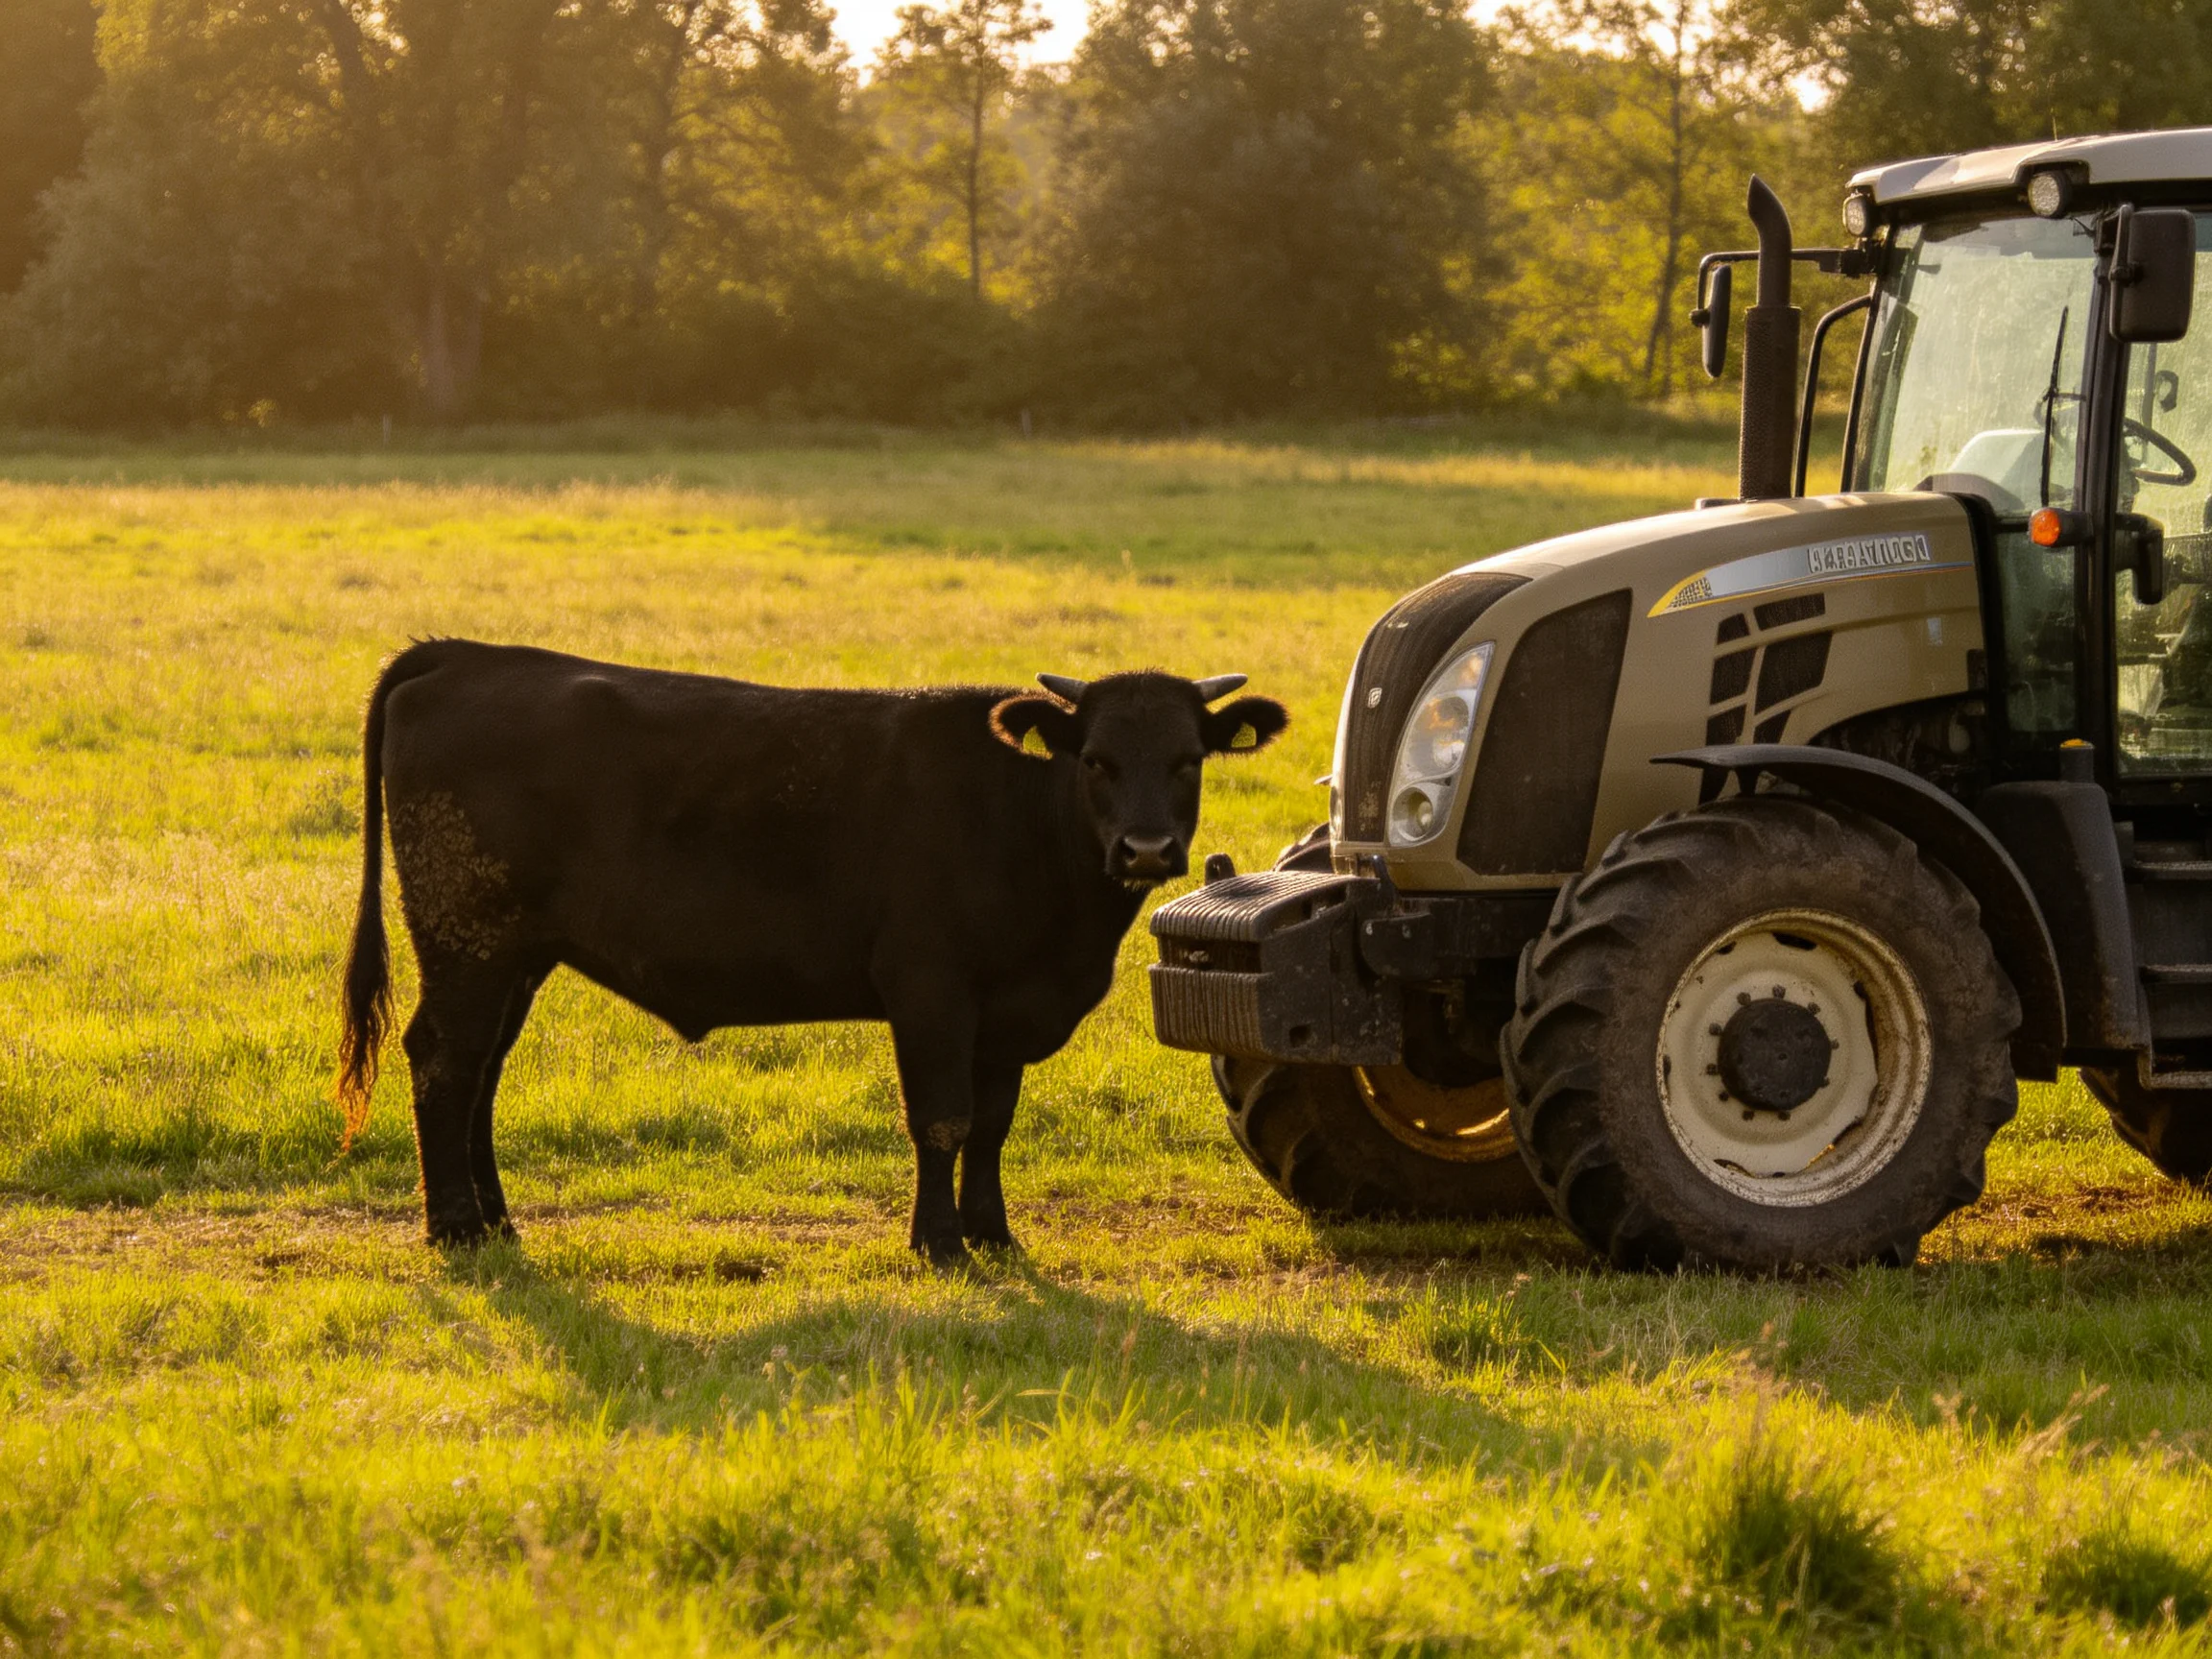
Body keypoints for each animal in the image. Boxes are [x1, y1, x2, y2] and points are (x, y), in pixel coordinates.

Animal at [335, 640, 1287, 1265]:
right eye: (1094, 759)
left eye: (1188, 759)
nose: (1147, 850)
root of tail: (465, 656)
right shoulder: (931, 991)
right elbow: (941, 1119)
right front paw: (939, 1243)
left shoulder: (1007, 1011)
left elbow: (992, 1125)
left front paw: (994, 1235)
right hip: (467, 941)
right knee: (445, 1063)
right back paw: (456, 1226)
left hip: (515, 956)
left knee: (482, 1074)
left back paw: (495, 1220)